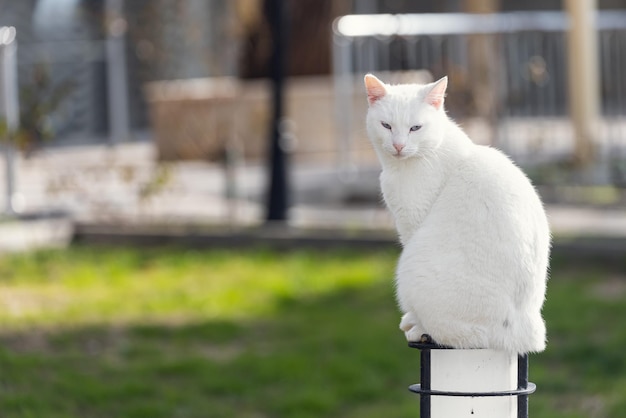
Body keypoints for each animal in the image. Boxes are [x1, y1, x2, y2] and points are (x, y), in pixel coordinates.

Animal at [364, 73, 548, 354]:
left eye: (415, 128)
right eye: (386, 125)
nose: (398, 145)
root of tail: (527, 331)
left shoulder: (412, 223)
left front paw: (413, 322)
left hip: (412, 264)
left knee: (458, 334)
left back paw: (420, 330)